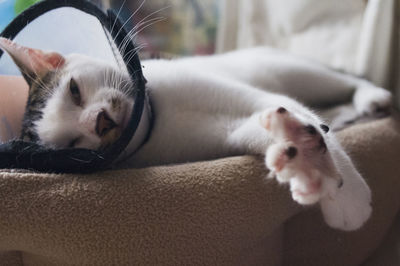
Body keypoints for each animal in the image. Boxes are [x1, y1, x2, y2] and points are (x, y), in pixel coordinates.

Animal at [0, 37, 392, 231]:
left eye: (74, 91)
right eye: (73, 144)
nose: (99, 123)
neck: (161, 118)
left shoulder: (257, 98)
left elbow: (297, 113)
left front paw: (340, 186)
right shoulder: (231, 130)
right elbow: (263, 132)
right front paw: (312, 165)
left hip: (296, 73)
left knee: (346, 78)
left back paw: (371, 97)